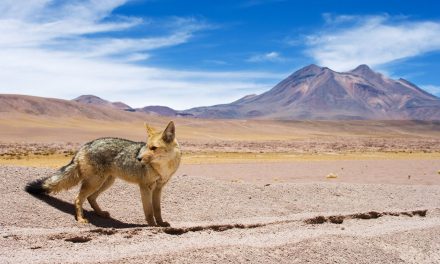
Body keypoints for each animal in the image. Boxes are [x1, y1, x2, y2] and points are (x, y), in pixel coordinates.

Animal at [24, 120, 180, 226]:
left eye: (153, 148)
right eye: (146, 147)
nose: (138, 158)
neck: (164, 167)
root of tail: (84, 146)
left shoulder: (158, 187)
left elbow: (157, 209)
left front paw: (161, 223)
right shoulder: (145, 187)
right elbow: (149, 210)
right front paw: (152, 225)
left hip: (106, 182)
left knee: (90, 198)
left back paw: (100, 213)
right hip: (96, 182)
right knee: (78, 198)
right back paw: (81, 219)